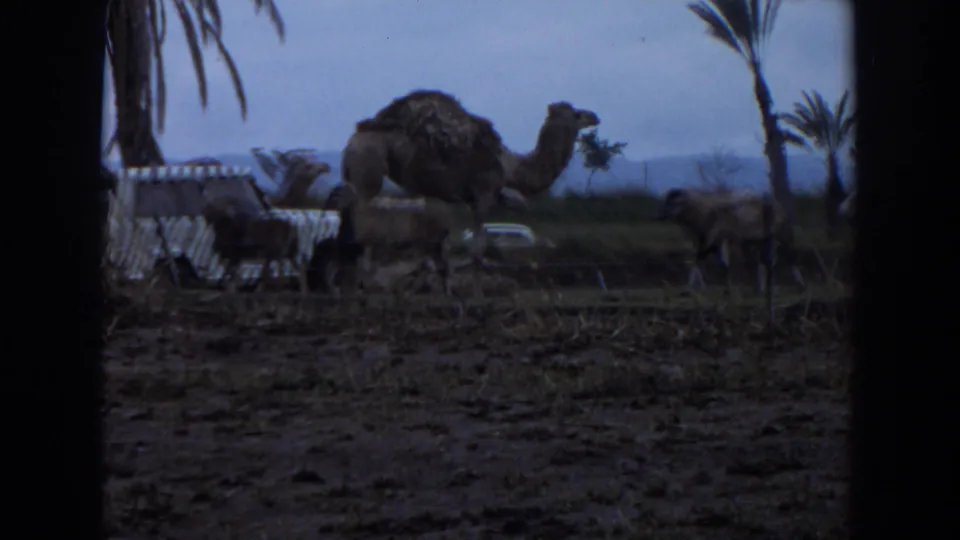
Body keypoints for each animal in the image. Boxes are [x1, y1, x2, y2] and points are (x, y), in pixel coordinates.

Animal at [341, 90, 600, 262]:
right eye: (577, 114)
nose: (594, 116)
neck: (510, 166)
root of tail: (355, 137)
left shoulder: (456, 198)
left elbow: (447, 245)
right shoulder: (482, 195)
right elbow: (477, 250)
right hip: (369, 168)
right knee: (363, 216)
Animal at [657, 188, 805, 293]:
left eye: (674, 203)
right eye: (665, 202)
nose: (660, 216)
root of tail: (777, 205)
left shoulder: (714, 238)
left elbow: (702, 259)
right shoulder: (715, 240)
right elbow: (713, 261)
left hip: (779, 233)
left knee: (788, 256)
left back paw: (799, 284)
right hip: (759, 240)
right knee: (763, 261)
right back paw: (762, 288)